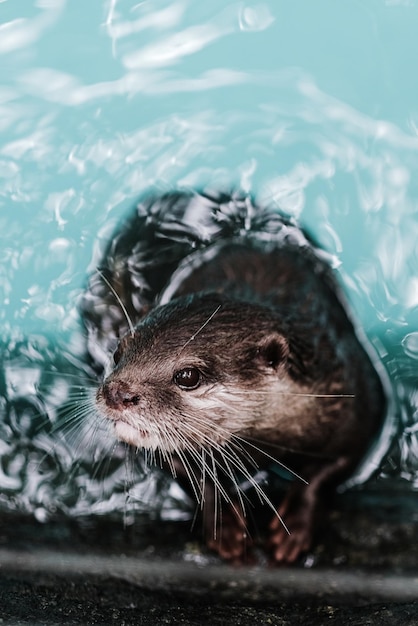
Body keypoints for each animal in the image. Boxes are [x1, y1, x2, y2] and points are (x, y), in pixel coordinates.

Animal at [82, 189, 388, 560]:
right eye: (117, 352)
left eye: (187, 376)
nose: (117, 392)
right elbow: (193, 476)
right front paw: (226, 523)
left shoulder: (359, 398)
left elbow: (333, 469)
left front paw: (295, 527)